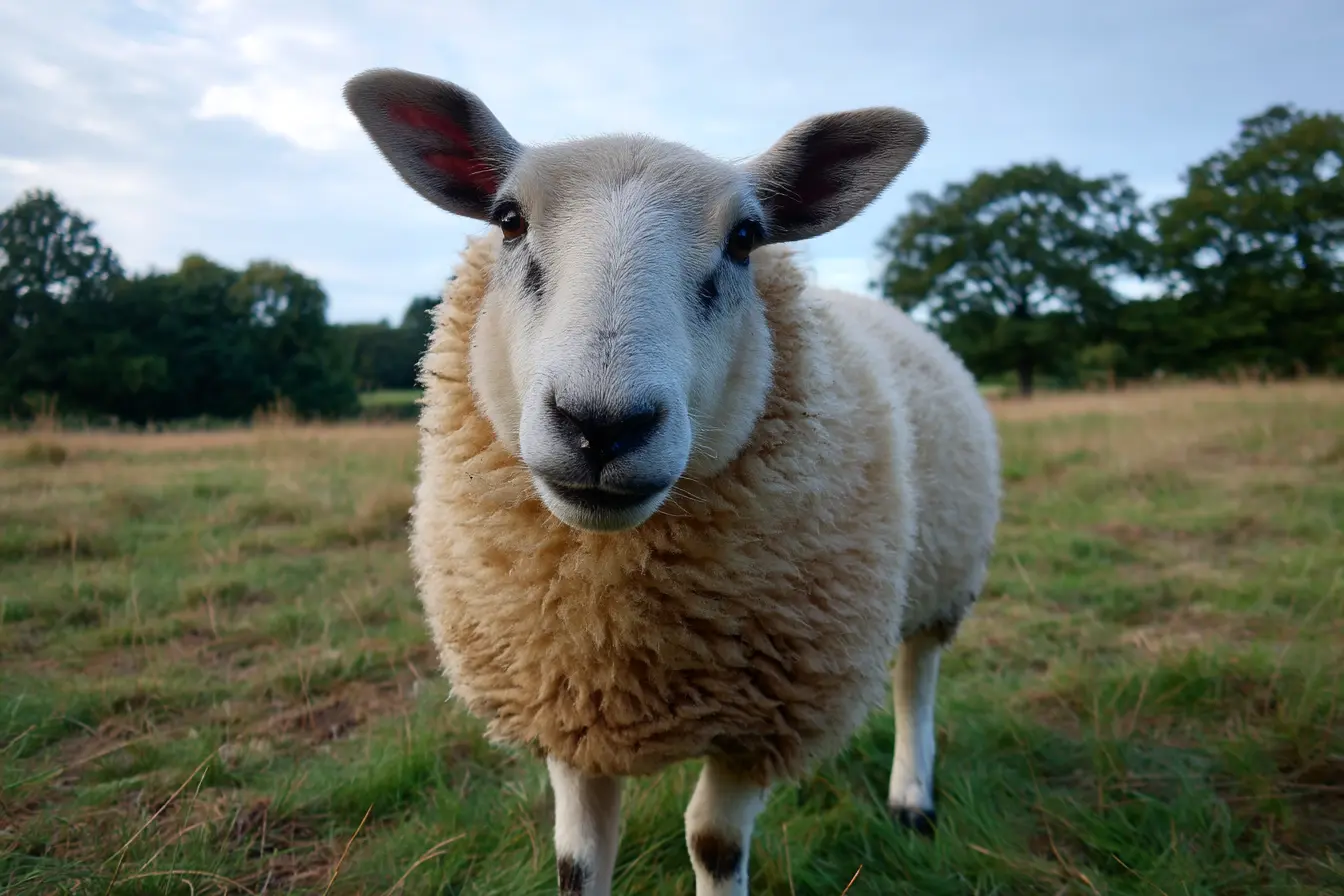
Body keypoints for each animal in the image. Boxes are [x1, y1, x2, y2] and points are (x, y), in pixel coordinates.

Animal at [343, 67, 1002, 896]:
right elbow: (578, 859)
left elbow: (713, 842)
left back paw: (912, 797)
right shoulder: (563, 701)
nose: (602, 425)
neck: (614, 630)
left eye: (746, 238)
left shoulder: (760, 718)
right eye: (508, 219)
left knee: (916, 677)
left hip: (943, 577)